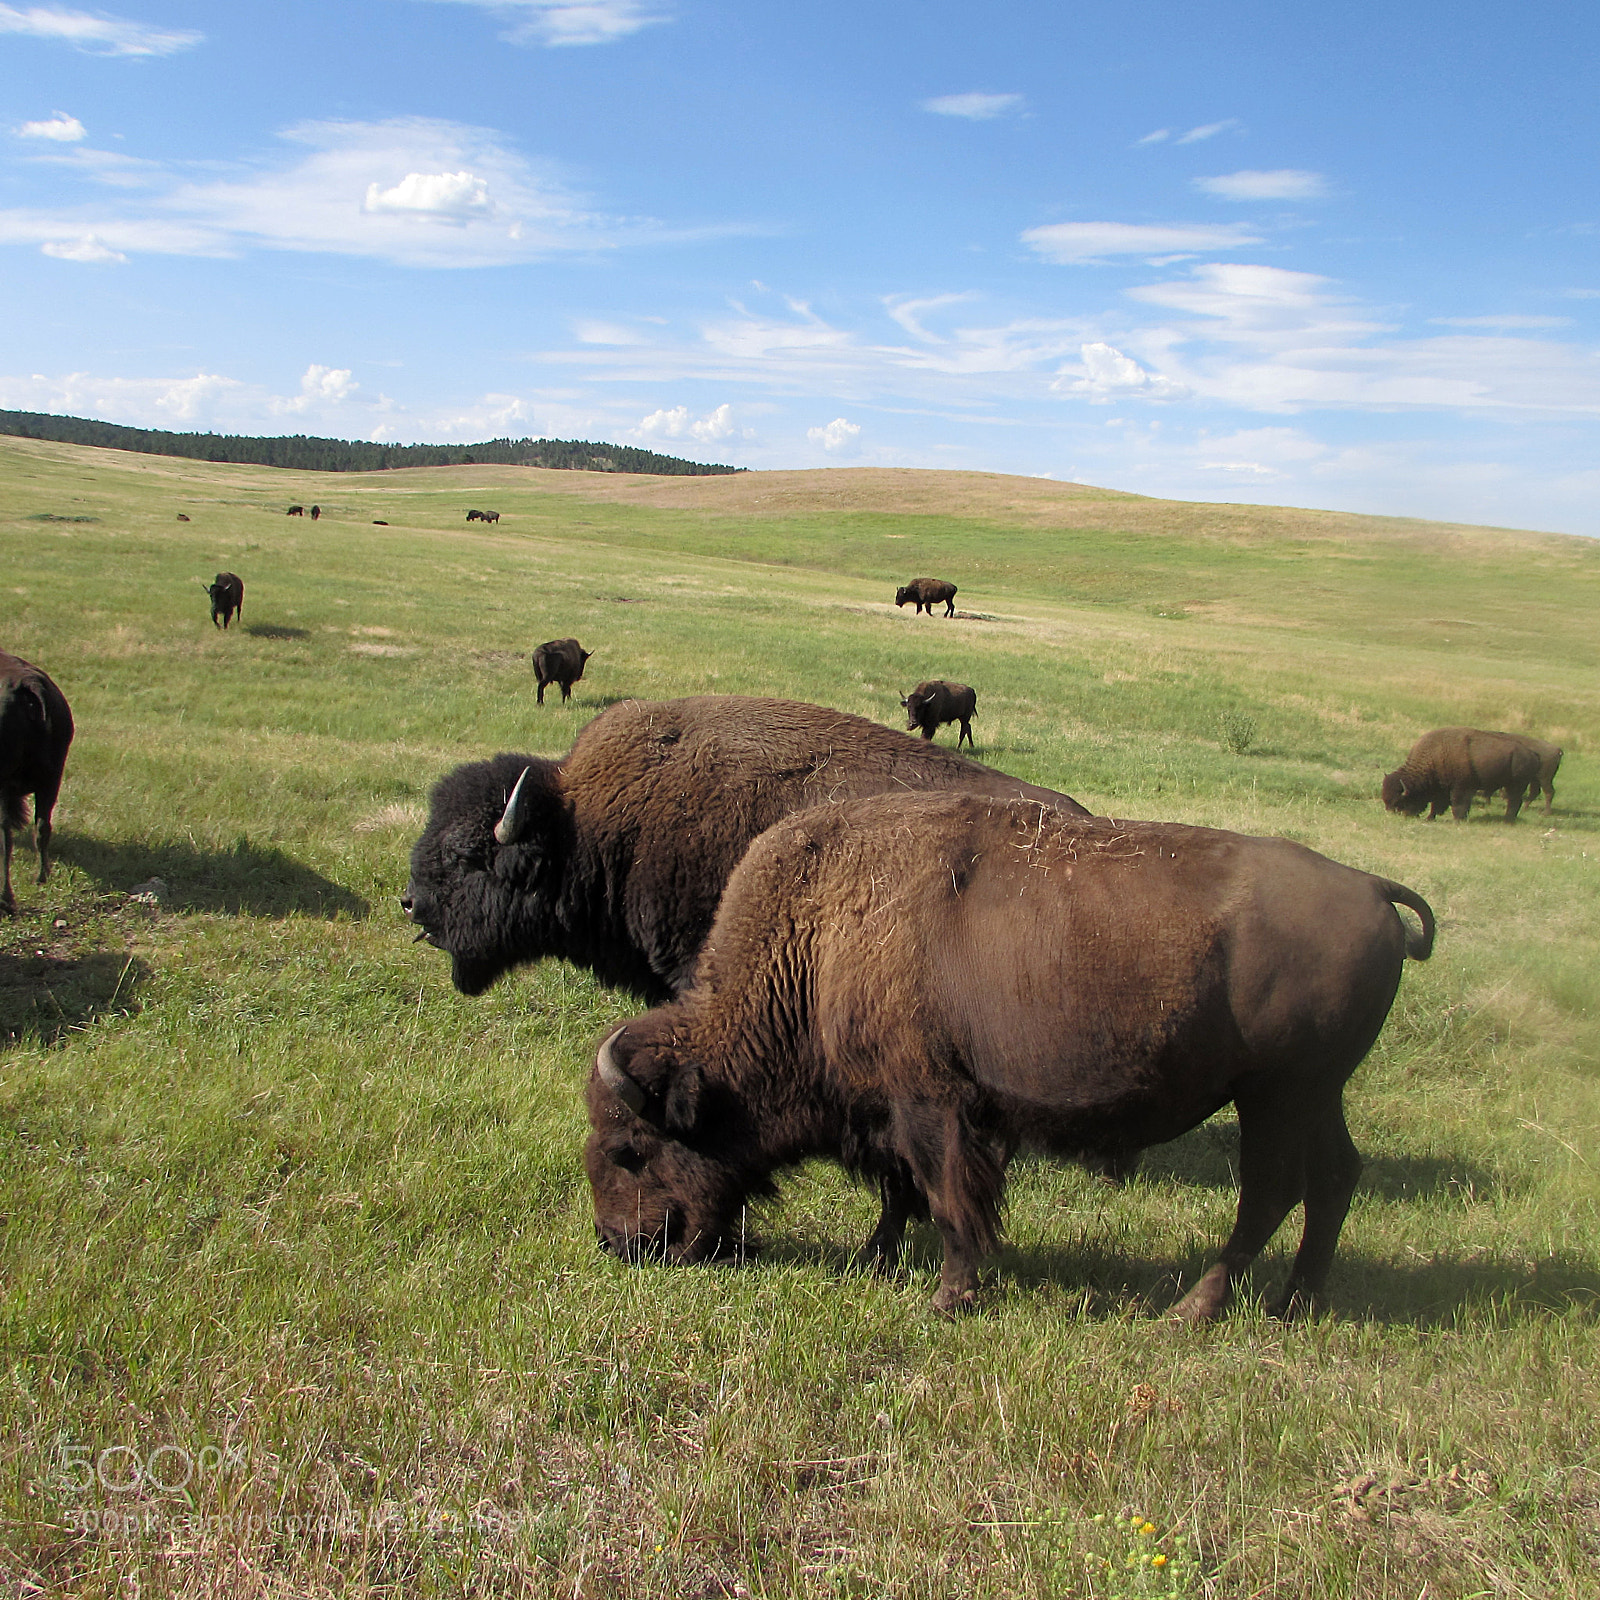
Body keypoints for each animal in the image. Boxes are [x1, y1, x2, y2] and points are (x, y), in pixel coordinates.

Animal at [587, 792, 1435, 1319]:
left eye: (632, 1148)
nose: (619, 1245)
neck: (820, 937)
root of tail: (1371, 887)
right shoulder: (894, 1110)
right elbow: (900, 1191)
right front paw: (877, 1260)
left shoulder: (929, 1103)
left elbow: (946, 1196)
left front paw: (949, 1296)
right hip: (1317, 1093)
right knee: (1334, 1177)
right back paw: (1297, 1301)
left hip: (1275, 1094)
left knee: (1270, 1191)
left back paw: (1193, 1309)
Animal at [1382, 727, 1543, 822]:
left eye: (1399, 801)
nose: (1400, 815)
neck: (1434, 755)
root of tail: (1533, 754)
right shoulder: (1441, 789)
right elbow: (1436, 805)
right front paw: (1430, 818)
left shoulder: (1461, 788)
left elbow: (1458, 804)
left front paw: (1458, 820)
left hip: (1516, 785)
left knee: (1514, 801)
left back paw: (1507, 820)